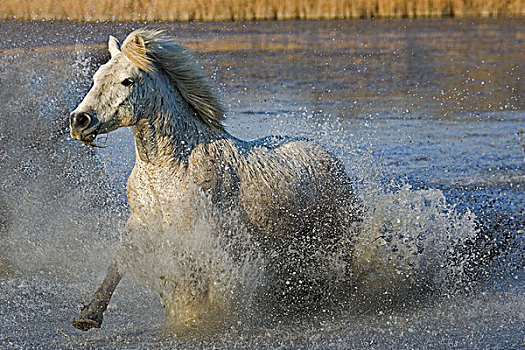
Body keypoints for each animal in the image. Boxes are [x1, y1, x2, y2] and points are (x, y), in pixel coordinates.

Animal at [70, 29, 360, 330]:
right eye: (96, 78)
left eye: (127, 81)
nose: (79, 121)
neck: (169, 167)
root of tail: (326, 155)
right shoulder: (141, 223)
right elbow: (119, 261)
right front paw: (89, 315)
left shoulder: (201, 238)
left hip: (335, 240)